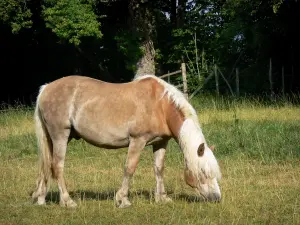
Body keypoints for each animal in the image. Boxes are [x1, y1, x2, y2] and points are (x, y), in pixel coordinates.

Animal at [31, 74, 221, 208]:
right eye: (203, 172)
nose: (217, 198)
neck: (160, 105)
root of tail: (46, 89)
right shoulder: (138, 141)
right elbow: (129, 168)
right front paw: (122, 200)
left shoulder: (160, 142)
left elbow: (159, 169)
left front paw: (162, 198)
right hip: (60, 136)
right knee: (57, 166)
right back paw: (68, 201)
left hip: (54, 139)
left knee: (46, 166)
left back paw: (41, 199)